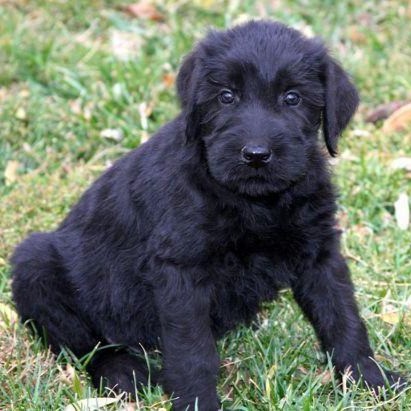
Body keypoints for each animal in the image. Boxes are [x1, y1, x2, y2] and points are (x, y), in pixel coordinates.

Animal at [11, 20, 404, 411]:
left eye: (292, 98)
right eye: (226, 96)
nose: (256, 155)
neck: (255, 202)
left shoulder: (319, 253)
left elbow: (342, 318)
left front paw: (370, 379)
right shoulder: (181, 272)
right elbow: (193, 351)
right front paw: (197, 401)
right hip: (35, 266)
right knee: (85, 345)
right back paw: (125, 372)